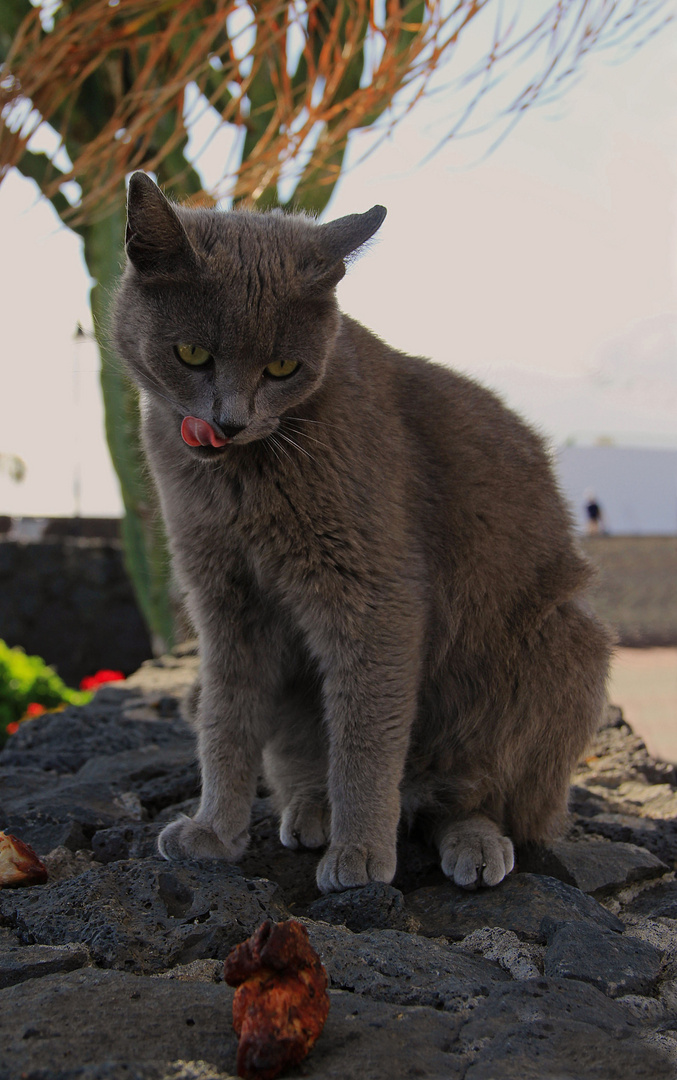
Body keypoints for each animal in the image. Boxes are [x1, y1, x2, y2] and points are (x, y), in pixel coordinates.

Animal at [113, 170, 613, 894]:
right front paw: (214, 832)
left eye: (283, 369)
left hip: (559, 647)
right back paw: (311, 810)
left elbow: (366, 734)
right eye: (192, 353)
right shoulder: (224, 596)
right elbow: (225, 720)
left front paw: (360, 854)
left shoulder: (373, 591)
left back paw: (469, 840)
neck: (240, 479)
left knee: (480, 799)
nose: (230, 421)